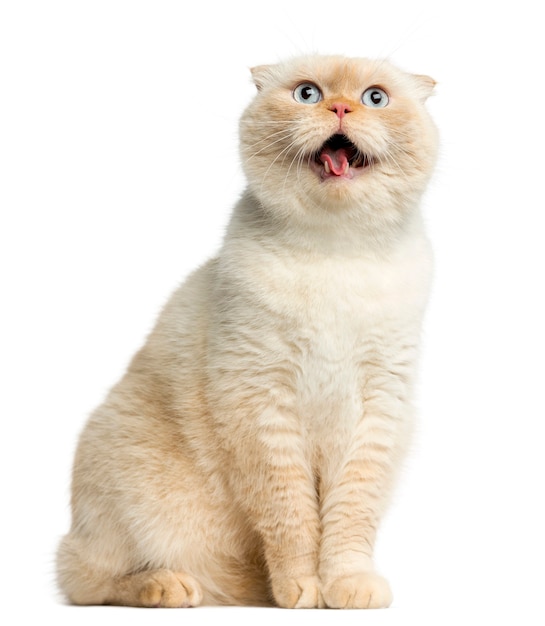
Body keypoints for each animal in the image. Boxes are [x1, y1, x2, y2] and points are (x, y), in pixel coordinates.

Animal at [56, 54, 438, 608]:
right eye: (307, 93)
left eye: (375, 98)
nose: (340, 107)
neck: (337, 253)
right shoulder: (262, 402)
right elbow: (292, 519)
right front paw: (301, 590)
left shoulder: (378, 405)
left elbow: (350, 519)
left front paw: (347, 587)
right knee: (86, 578)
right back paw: (170, 586)